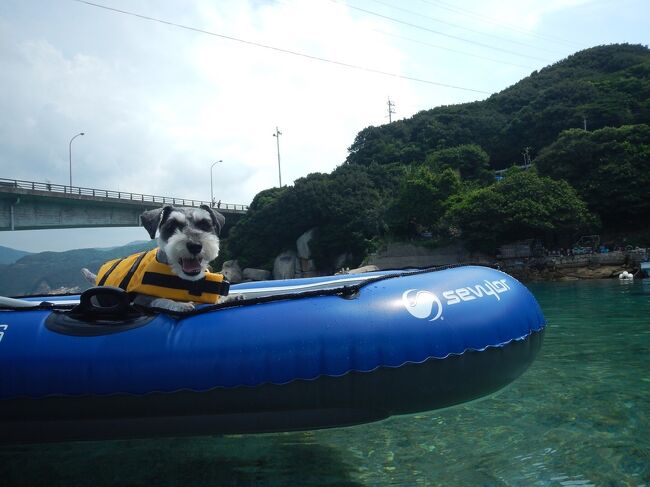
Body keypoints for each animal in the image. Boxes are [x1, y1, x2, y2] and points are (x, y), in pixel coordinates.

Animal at [82, 205, 230, 312]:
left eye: (205, 225)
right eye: (172, 226)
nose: (195, 246)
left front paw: (225, 298)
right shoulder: (141, 299)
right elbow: (160, 300)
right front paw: (180, 305)